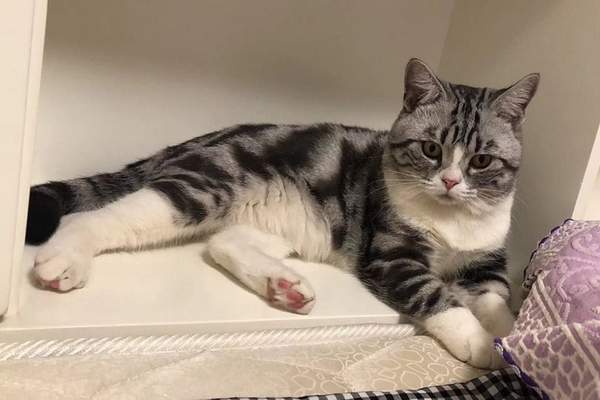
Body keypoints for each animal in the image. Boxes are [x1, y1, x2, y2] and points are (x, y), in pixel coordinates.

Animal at [24, 58, 540, 368]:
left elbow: (497, 298)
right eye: (432, 149)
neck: (451, 224)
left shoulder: (486, 263)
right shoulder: (391, 256)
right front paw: (480, 344)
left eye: (482, 161)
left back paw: (285, 286)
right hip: (203, 188)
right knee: (93, 218)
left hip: (287, 222)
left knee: (222, 243)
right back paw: (63, 262)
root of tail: (190, 143)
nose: (450, 182)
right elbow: (437, 295)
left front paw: (513, 331)